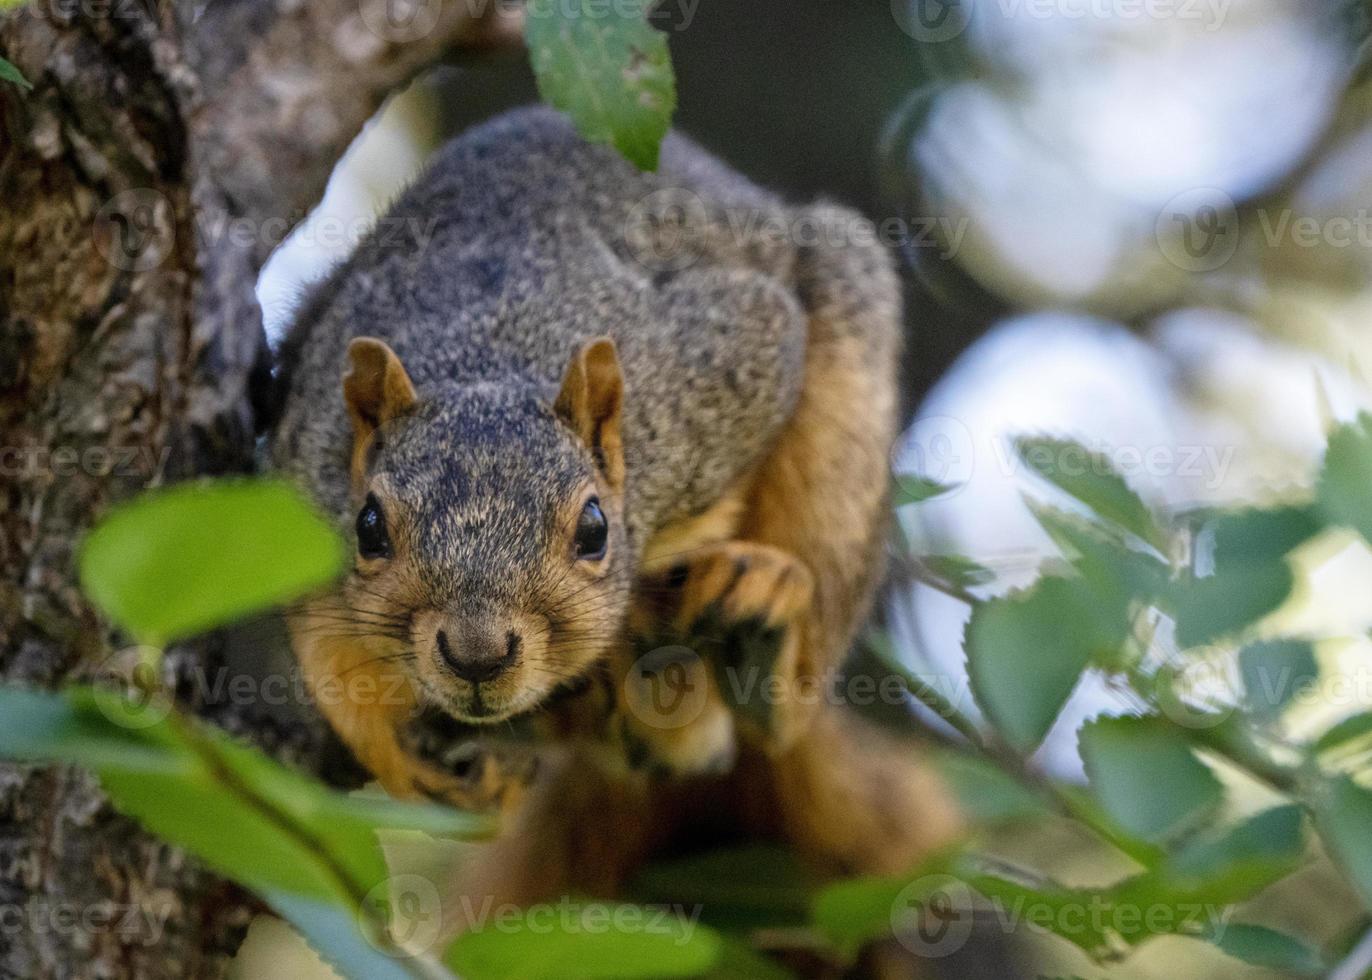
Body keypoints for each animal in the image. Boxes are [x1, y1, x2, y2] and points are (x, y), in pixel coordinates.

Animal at [264, 105, 954, 900]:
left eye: (594, 529)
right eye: (368, 527)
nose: (476, 655)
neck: (489, 354)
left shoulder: (727, 369)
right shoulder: (301, 464)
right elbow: (318, 631)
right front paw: (393, 740)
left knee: (783, 701)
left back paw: (756, 641)